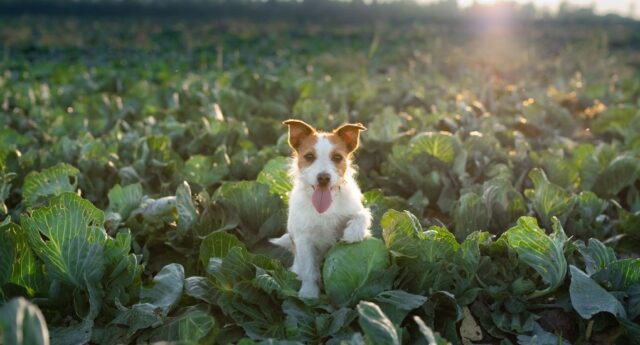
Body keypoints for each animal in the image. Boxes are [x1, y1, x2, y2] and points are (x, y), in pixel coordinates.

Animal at [268, 119, 370, 296]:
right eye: (309, 156)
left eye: (337, 157)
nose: (323, 178)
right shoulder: (304, 240)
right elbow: (309, 271)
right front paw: (309, 294)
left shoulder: (354, 208)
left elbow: (362, 214)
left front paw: (353, 232)